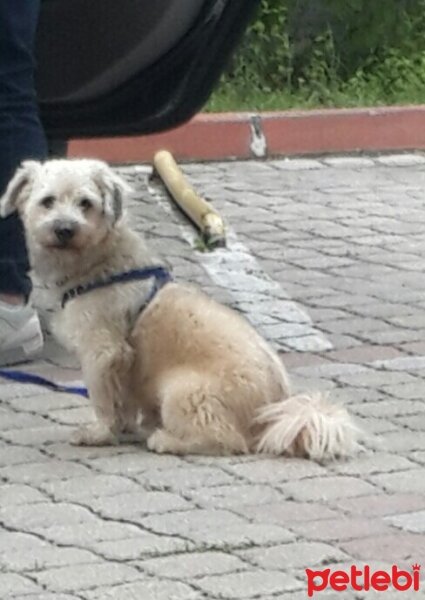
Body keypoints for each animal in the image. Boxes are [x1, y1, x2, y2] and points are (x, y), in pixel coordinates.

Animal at [0, 159, 358, 460]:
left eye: (86, 203)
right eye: (47, 201)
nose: (65, 229)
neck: (99, 265)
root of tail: (273, 413)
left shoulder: (103, 353)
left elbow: (103, 400)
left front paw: (99, 433)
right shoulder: (123, 364)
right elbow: (122, 402)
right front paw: (122, 427)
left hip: (182, 391)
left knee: (227, 439)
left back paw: (166, 439)